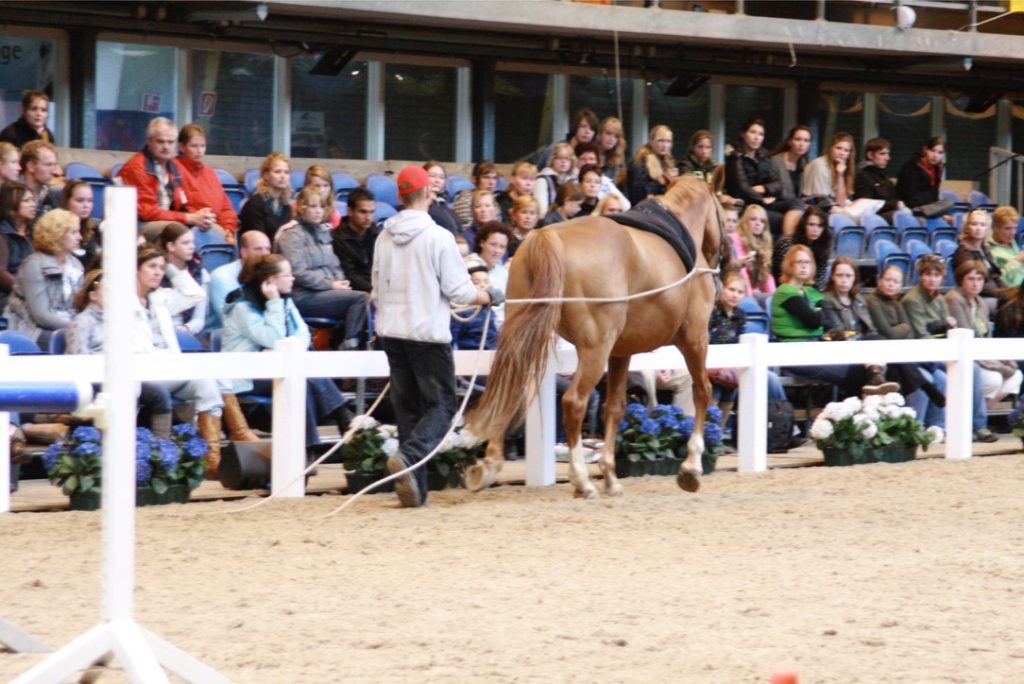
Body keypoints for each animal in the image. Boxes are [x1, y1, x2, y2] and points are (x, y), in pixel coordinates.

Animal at [464, 175, 728, 498]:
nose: (720, 269)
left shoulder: (620, 352)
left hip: (526, 332)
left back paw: (488, 465)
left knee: (509, 389)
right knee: (573, 402)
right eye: (723, 213)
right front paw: (691, 469)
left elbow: (614, 408)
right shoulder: (694, 339)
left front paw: (611, 476)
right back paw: (581, 480)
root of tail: (546, 236)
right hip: (594, 349)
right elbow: (703, 391)